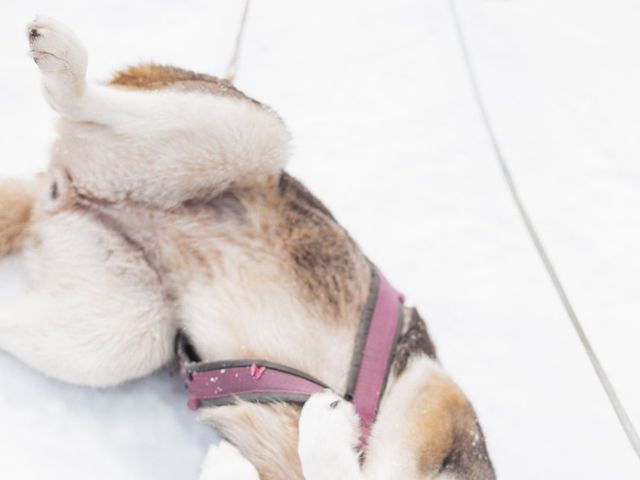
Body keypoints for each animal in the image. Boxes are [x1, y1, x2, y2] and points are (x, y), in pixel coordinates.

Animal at [0, 16, 496, 478]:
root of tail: (64, 185)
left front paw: (230, 464)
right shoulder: (433, 409)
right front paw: (326, 430)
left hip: (124, 330)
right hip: (246, 132)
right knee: (85, 101)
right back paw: (66, 67)